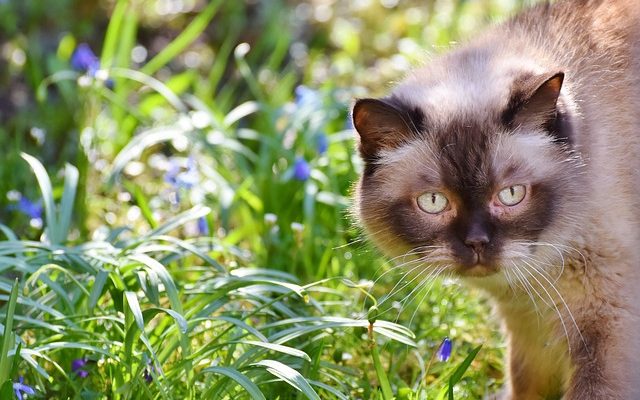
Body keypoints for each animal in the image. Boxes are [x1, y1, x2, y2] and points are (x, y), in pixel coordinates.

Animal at [352, 1, 640, 398]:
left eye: (510, 194)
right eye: (433, 202)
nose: (477, 243)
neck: (530, 283)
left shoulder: (608, 323)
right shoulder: (529, 329)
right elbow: (522, 383)